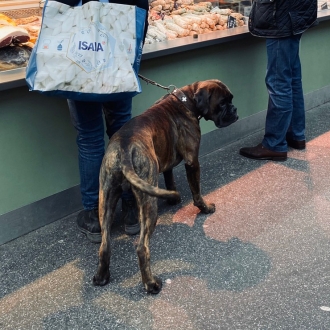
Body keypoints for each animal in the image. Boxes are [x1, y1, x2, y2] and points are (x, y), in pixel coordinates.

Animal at [92, 80, 237, 294]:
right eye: (222, 103)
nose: (234, 109)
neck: (186, 101)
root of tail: (124, 149)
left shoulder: (166, 160)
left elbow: (170, 179)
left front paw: (173, 198)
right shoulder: (192, 162)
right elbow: (196, 191)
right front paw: (204, 208)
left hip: (106, 199)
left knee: (104, 246)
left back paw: (102, 277)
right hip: (148, 205)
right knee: (142, 248)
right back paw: (151, 284)